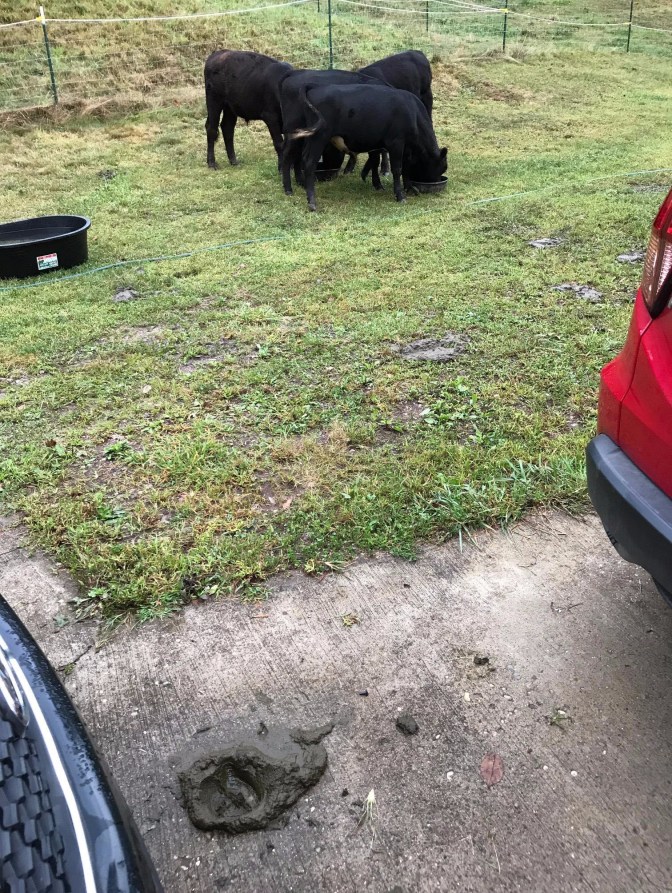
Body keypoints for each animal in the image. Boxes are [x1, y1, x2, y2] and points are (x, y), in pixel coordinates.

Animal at [289, 83, 447, 211]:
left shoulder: (400, 146)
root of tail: (314, 88)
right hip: (319, 137)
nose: (437, 183)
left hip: (310, 137)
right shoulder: (396, 142)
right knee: (310, 163)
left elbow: (396, 165)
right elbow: (397, 169)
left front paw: (405, 187)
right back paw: (312, 202)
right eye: (443, 167)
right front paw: (400, 195)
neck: (412, 112)